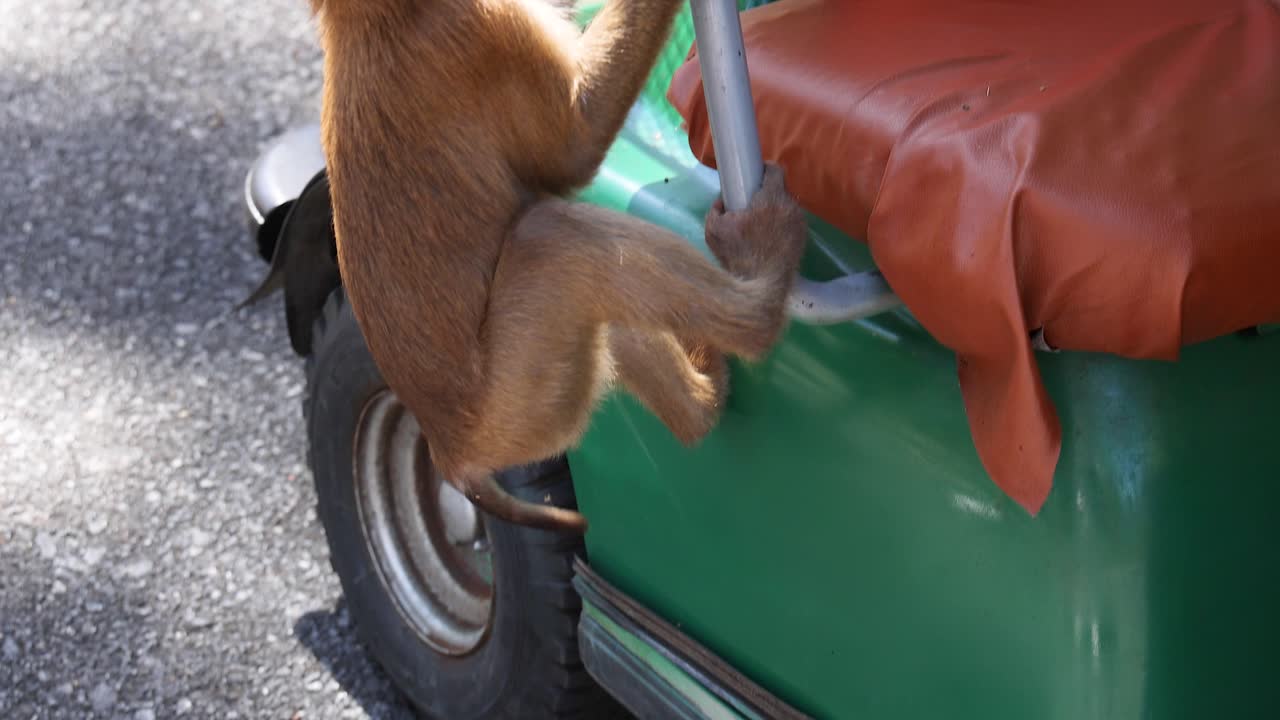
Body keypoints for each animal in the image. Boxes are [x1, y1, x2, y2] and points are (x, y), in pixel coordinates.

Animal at [309, 0, 808, 534]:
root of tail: (450, 452)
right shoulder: (485, 27)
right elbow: (576, 146)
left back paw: (701, 398)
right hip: (518, 401)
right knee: (553, 238)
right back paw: (756, 304)